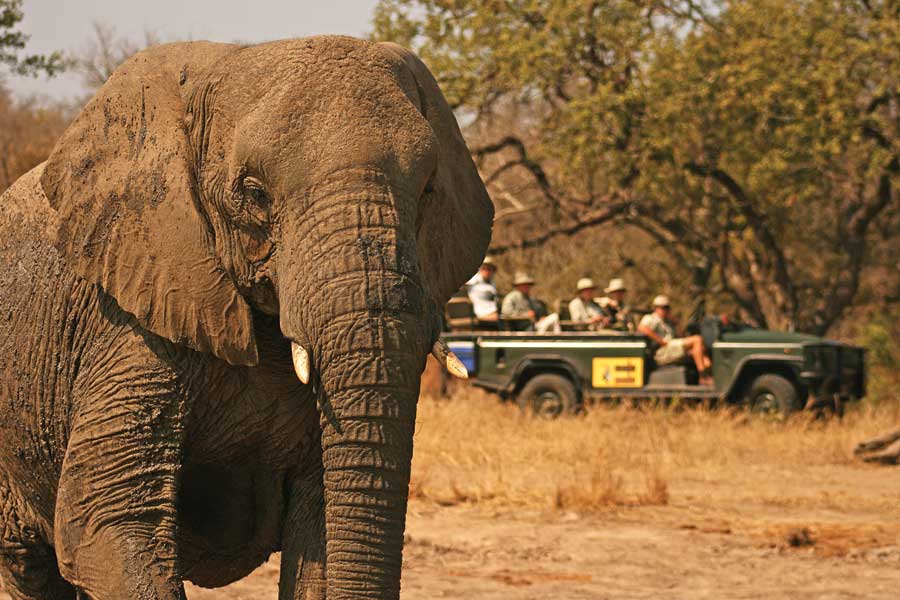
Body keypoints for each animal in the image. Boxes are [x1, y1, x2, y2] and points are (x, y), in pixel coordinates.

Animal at [0, 36, 492, 599]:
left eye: (429, 189)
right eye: (253, 193)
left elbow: (323, 533)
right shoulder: (129, 319)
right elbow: (108, 526)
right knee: (30, 566)